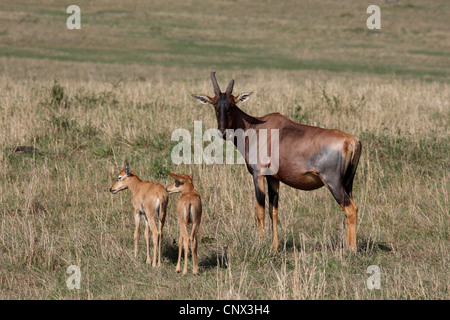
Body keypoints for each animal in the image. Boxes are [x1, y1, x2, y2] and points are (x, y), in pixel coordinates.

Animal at [191, 72, 362, 252]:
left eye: (231, 104)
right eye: (215, 104)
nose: (223, 132)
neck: (255, 128)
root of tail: (352, 141)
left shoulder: (258, 175)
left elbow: (260, 210)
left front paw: (259, 244)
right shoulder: (273, 178)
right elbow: (273, 210)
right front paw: (275, 246)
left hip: (333, 182)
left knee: (350, 208)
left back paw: (351, 249)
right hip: (348, 182)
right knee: (350, 208)